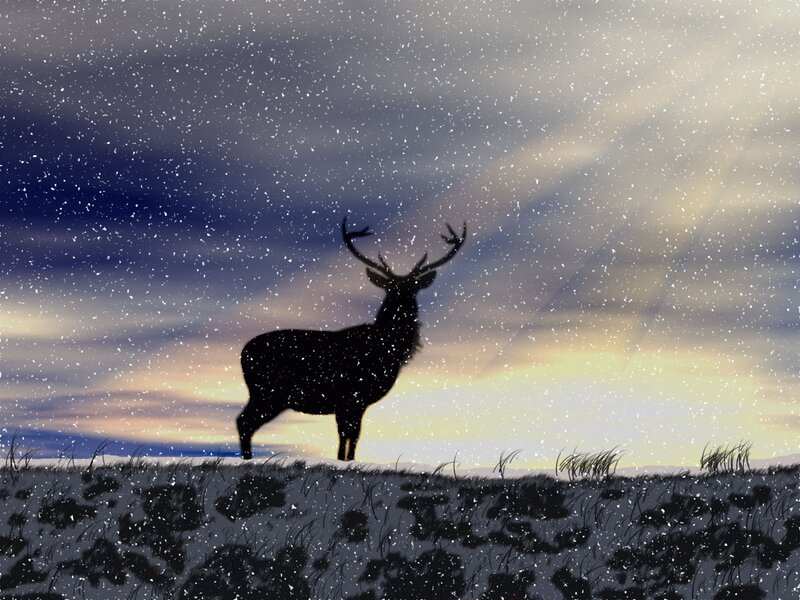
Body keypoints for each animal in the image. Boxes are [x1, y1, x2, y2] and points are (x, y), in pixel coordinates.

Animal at [237, 217, 467, 461]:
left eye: (413, 289)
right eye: (390, 289)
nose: (403, 308)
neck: (387, 351)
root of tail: (243, 353)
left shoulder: (356, 401)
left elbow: (352, 434)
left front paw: (349, 459)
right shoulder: (349, 395)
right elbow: (346, 433)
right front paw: (343, 460)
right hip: (267, 392)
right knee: (244, 422)